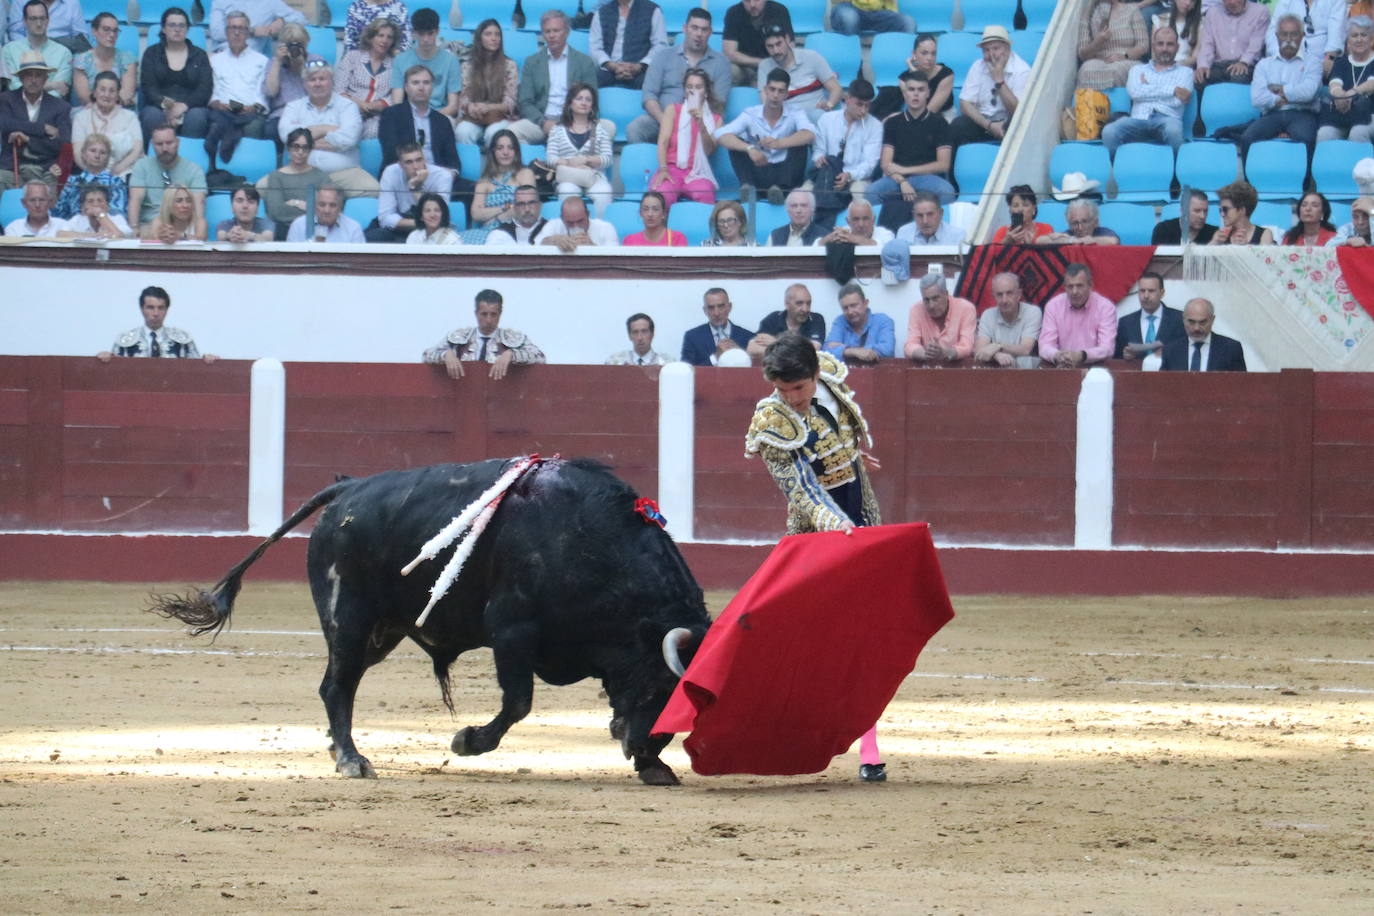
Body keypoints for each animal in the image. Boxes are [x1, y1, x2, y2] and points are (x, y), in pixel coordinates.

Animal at [150, 458, 708, 791]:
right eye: (660, 687)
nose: (643, 749)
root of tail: (347, 490)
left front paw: (654, 765)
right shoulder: (511, 631)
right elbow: (518, 702)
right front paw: (466, 741)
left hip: (381, 631)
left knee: (339, 685)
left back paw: (339, 748)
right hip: (348, 618)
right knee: (336, 685)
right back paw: (351, 759)